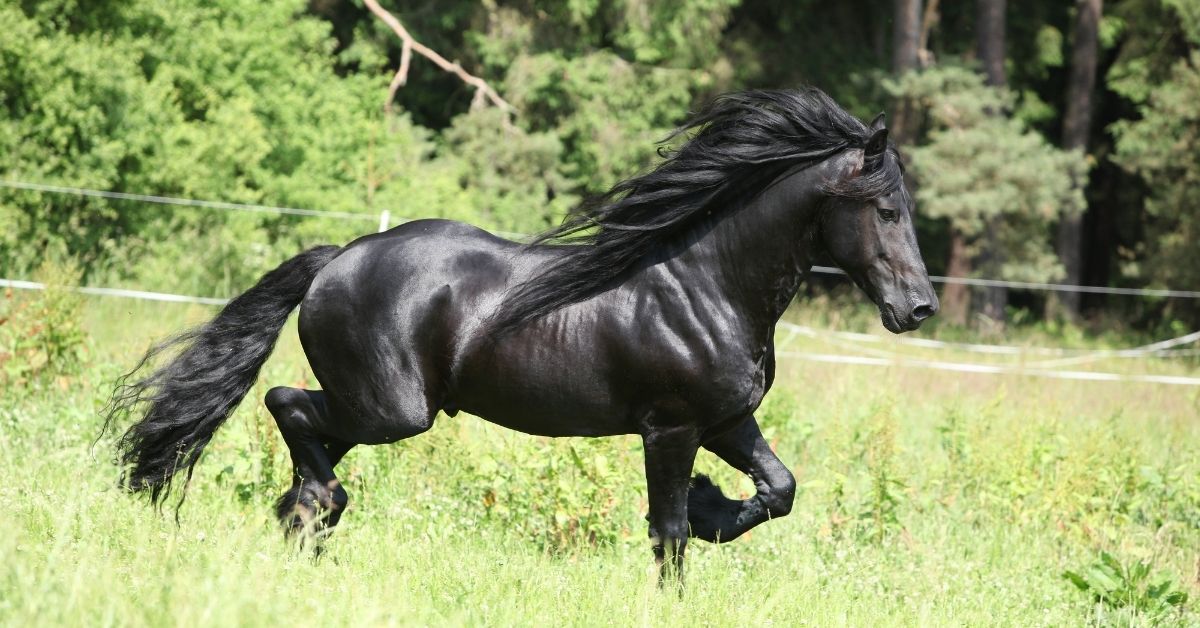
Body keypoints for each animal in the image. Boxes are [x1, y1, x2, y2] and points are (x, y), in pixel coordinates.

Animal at [105, 87, 936, 581]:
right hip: (391, 410)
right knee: (285, 402)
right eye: (886, 209)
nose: (919, 309)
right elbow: (667, 533)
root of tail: (336, 259)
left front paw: (712, 507)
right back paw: (323, 506)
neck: (705, 285)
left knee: (302, 442)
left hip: (366, 410)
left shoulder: (727, 421)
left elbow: (778, 490)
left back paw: (307, 524)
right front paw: (693, 526)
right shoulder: (670, 428)